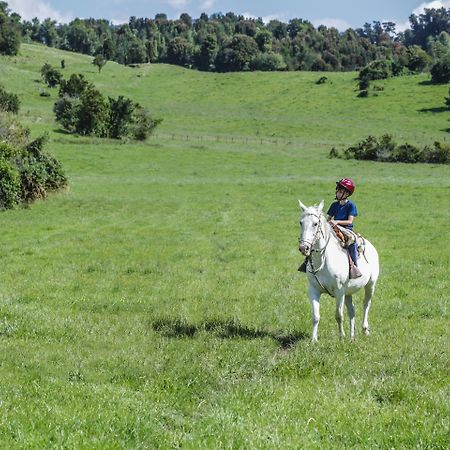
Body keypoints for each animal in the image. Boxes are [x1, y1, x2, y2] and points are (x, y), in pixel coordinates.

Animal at [298, 200, 380, 342]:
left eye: (315, 224)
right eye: (301, 222)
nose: (304, 248)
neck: (324, 261)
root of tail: (371, 247)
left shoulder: (339, 291)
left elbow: (338, 315)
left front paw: (341, 337)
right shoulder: (313, 290)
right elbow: (315, 316)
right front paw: (314, 340)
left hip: (370, 285)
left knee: (366, 304)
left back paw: (365, 330)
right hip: (348, 293)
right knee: (352, 310)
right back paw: (352, 336)